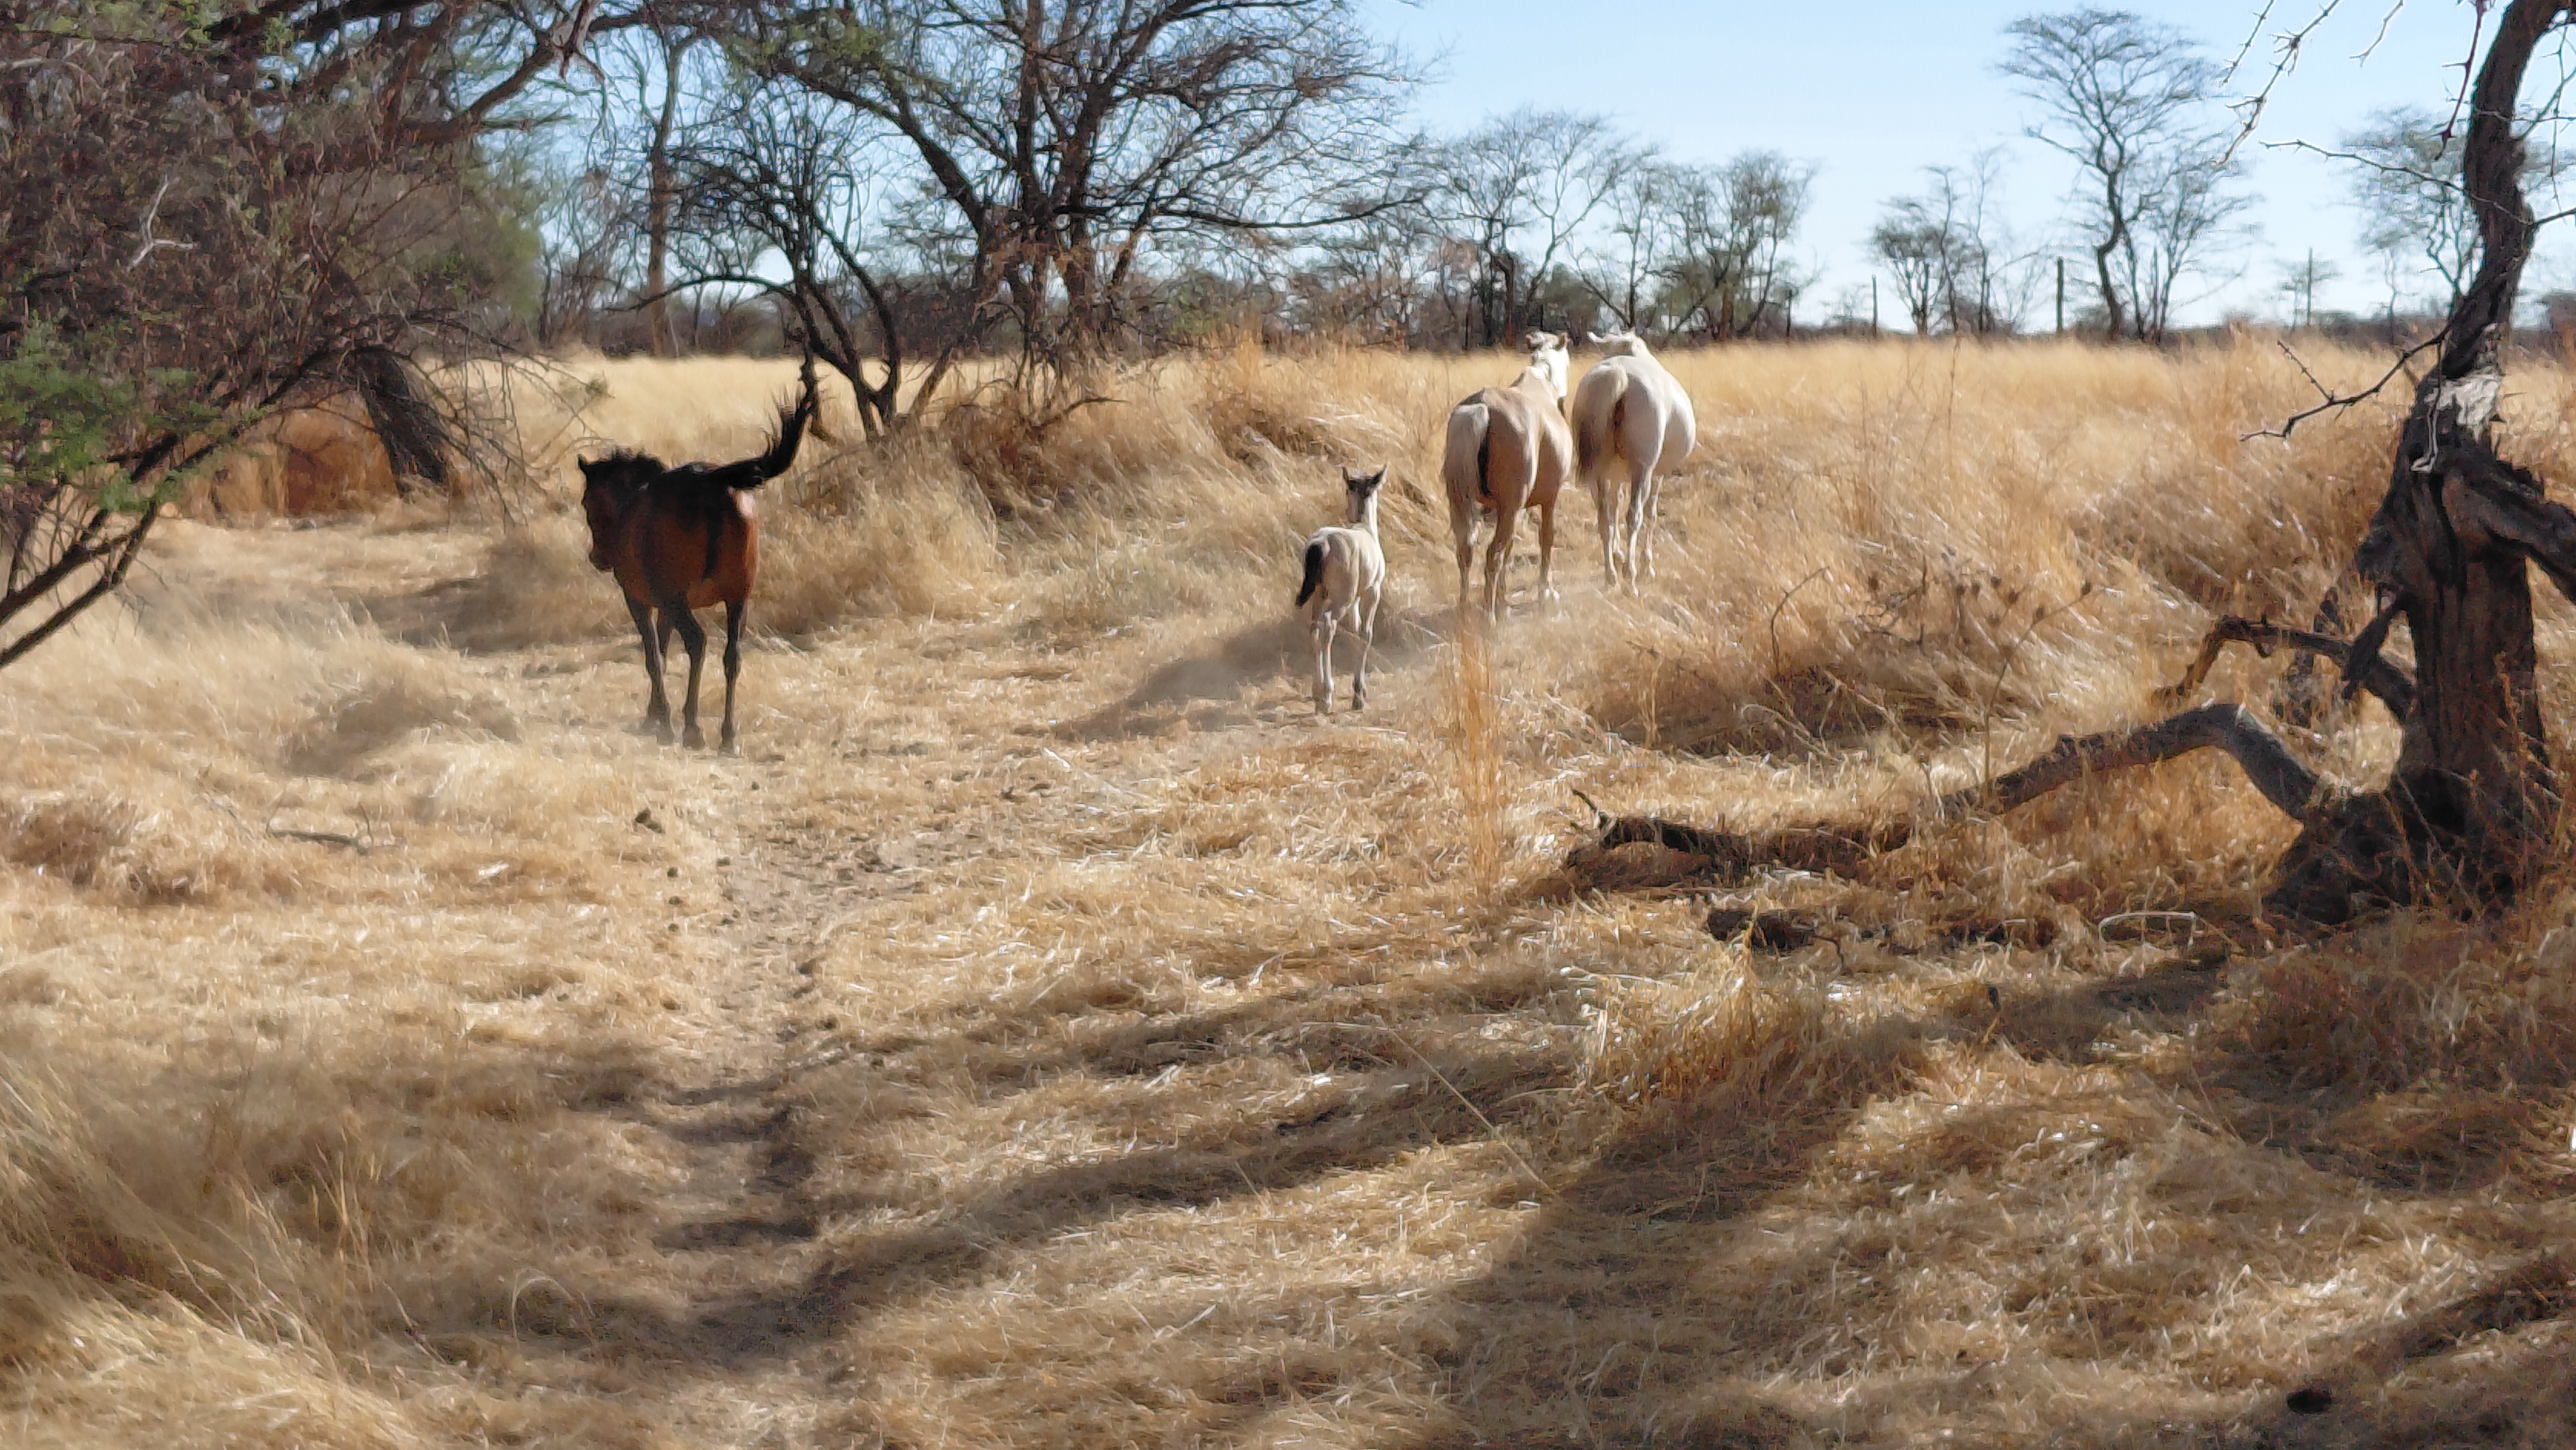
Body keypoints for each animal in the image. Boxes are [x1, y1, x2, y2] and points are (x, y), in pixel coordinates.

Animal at [578, 364, 817, 753]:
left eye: (587, 503)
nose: (598, 558)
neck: (632, 502)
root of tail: (713, 480)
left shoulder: (641, 600)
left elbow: (653, 656)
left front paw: (662, 721)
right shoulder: (668, 605)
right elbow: (663, 648)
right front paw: (653, 717)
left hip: (679, 598)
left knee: (698, 642)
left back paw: (691, 728)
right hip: (738, 597)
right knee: (732, 655)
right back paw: (728, 734)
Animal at [1294, 466, 1388, 714]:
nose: (1349, 514)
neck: (1366, 530)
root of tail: (1321, 545)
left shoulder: (1355, 600)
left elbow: (1355, 630)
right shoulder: (1371, 592)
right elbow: (1365, 634)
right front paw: (1359, 695)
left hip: (1320, 596)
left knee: (1314, 627)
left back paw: (1318, 691)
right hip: (1340, 600)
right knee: (1329, 626)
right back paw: (1326, 695)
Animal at [1441, 330, 1573, 623]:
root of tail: (1482, 407)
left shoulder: (1510, 510)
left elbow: (1512, 546)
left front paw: (1503, 599)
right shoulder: (1548, 498)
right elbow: (1546, 539)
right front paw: (1545, 594)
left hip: (1463, 504)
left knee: (1465, 551)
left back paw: (1465, 610)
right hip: (1511, 507)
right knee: (1493, 555)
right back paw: (1490, 619)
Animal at [1571, 331, 1696, 592]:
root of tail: (1619, 374)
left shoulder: (1615, 474)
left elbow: (1614, 505)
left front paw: (1617, 554)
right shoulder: (1657, 474)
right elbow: (1651, 513)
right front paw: (1647, 566)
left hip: (1598, 472)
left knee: (1603, 517)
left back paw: (1611, 575)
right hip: (1642, 470)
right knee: (1634, 515)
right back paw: (1632, 576)